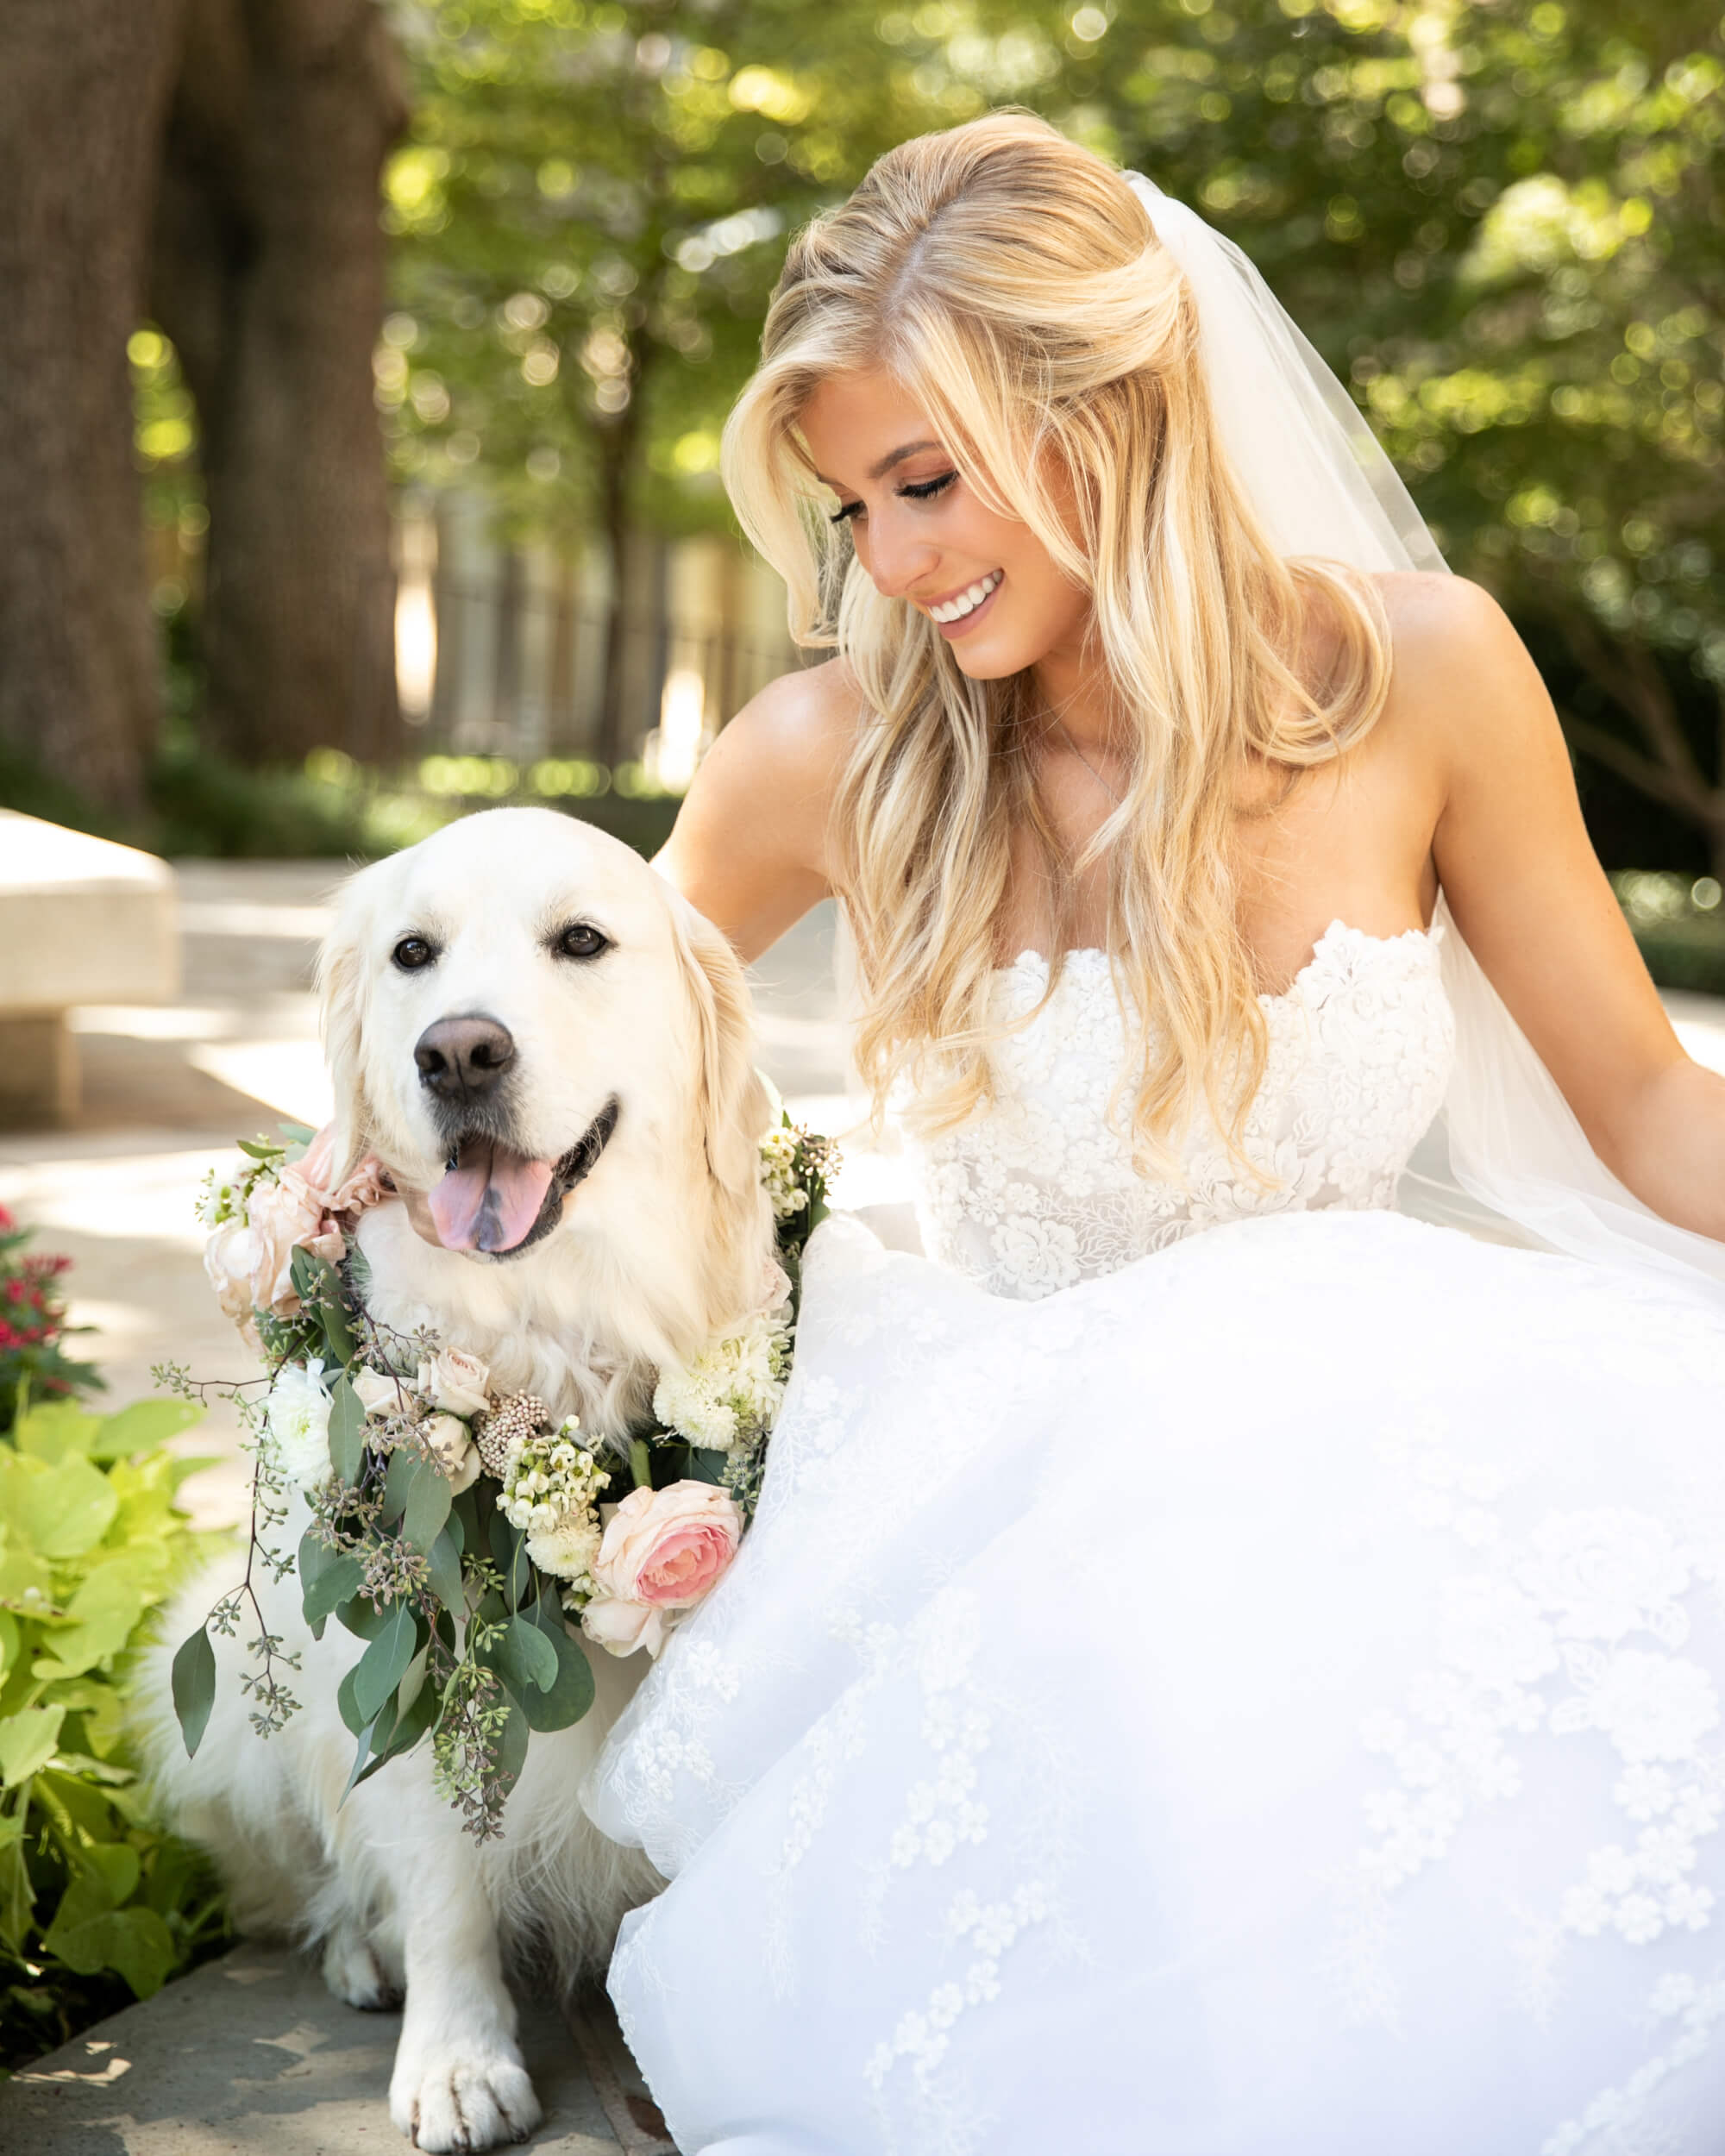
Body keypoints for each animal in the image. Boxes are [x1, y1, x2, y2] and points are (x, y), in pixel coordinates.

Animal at [138, 811, 772, 2156]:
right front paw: (458, 2059)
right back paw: (360, 1952)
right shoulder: (416, 1655)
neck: (559, 1328)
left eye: (581, 940)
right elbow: (439, 1880)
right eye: (412, 954)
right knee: (324, 1880)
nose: (459, 1052)